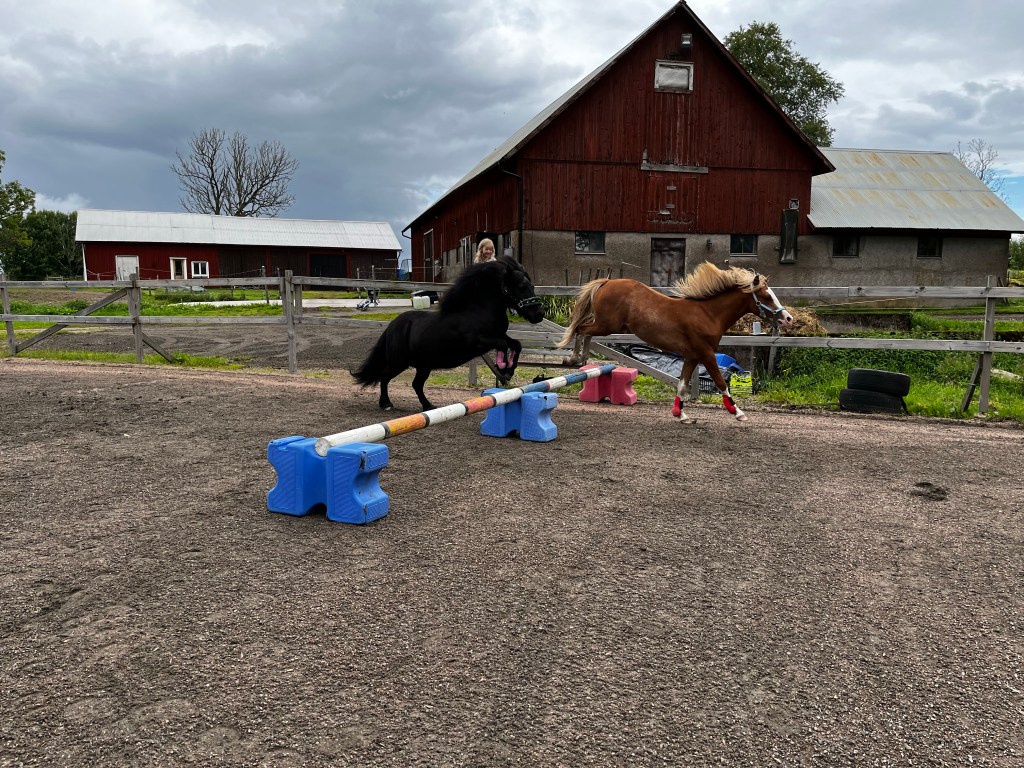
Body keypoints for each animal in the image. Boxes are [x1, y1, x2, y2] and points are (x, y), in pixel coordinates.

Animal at [352, 256, 546, 411]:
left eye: (532, 285)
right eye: (521, 286)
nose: (539, 314)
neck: (478, 310)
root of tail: (393, 326)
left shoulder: (499, 335)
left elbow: (516, 344)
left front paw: (509, 369)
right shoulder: (479, 342)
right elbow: (504, 345)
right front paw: (503, 369)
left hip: (423, 365)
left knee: (416, 385)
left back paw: (428, 406)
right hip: (399, 362)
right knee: (385, 377)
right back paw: (386, 404)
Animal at [557, 262, 793, 423]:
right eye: (766, 297)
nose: (788, 318)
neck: (709, 314)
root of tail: (606, 281)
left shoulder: (692, 356)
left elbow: (682, 384)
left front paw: (680, 414)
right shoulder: (706, 353)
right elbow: (720, 382)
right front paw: (738, 412)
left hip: (608, 325)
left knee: (584, 331)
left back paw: (582, 358)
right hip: (607, 325)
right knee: (580, 329)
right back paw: (574, 358)